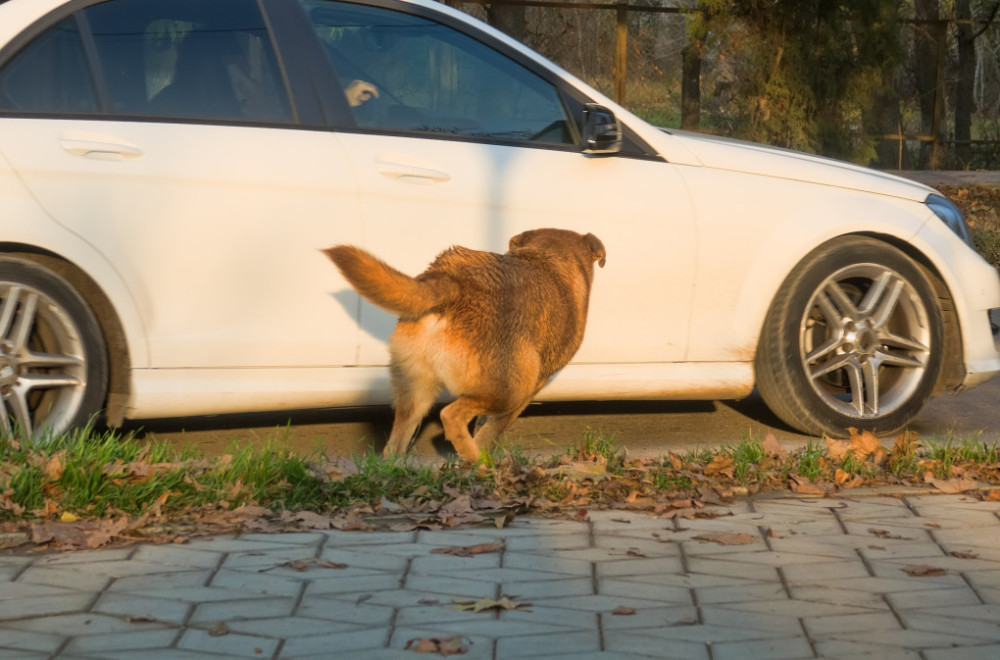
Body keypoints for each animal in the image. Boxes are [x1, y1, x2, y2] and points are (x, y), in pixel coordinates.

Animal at [324, 227, 604, 458]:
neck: (550, 255)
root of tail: (453, 281)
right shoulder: (530, 391)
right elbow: (490, 431)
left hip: (414, 394)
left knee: (392, 449)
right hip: (511, 389)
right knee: (451, 416)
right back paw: (478, 465)